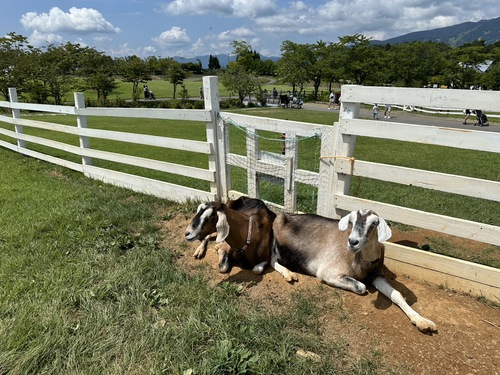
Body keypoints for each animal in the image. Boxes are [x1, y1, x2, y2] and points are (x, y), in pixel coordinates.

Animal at [270, 210, 438, 334]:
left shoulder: (376, 276)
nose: (352, 242)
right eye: (351, 221)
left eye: (374, 223)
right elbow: (361, 287)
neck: (362, 262)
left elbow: (396, 294)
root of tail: (284, 215)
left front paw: (422, 321)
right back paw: (288, 274)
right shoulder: (327, 273)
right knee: (272, 259)